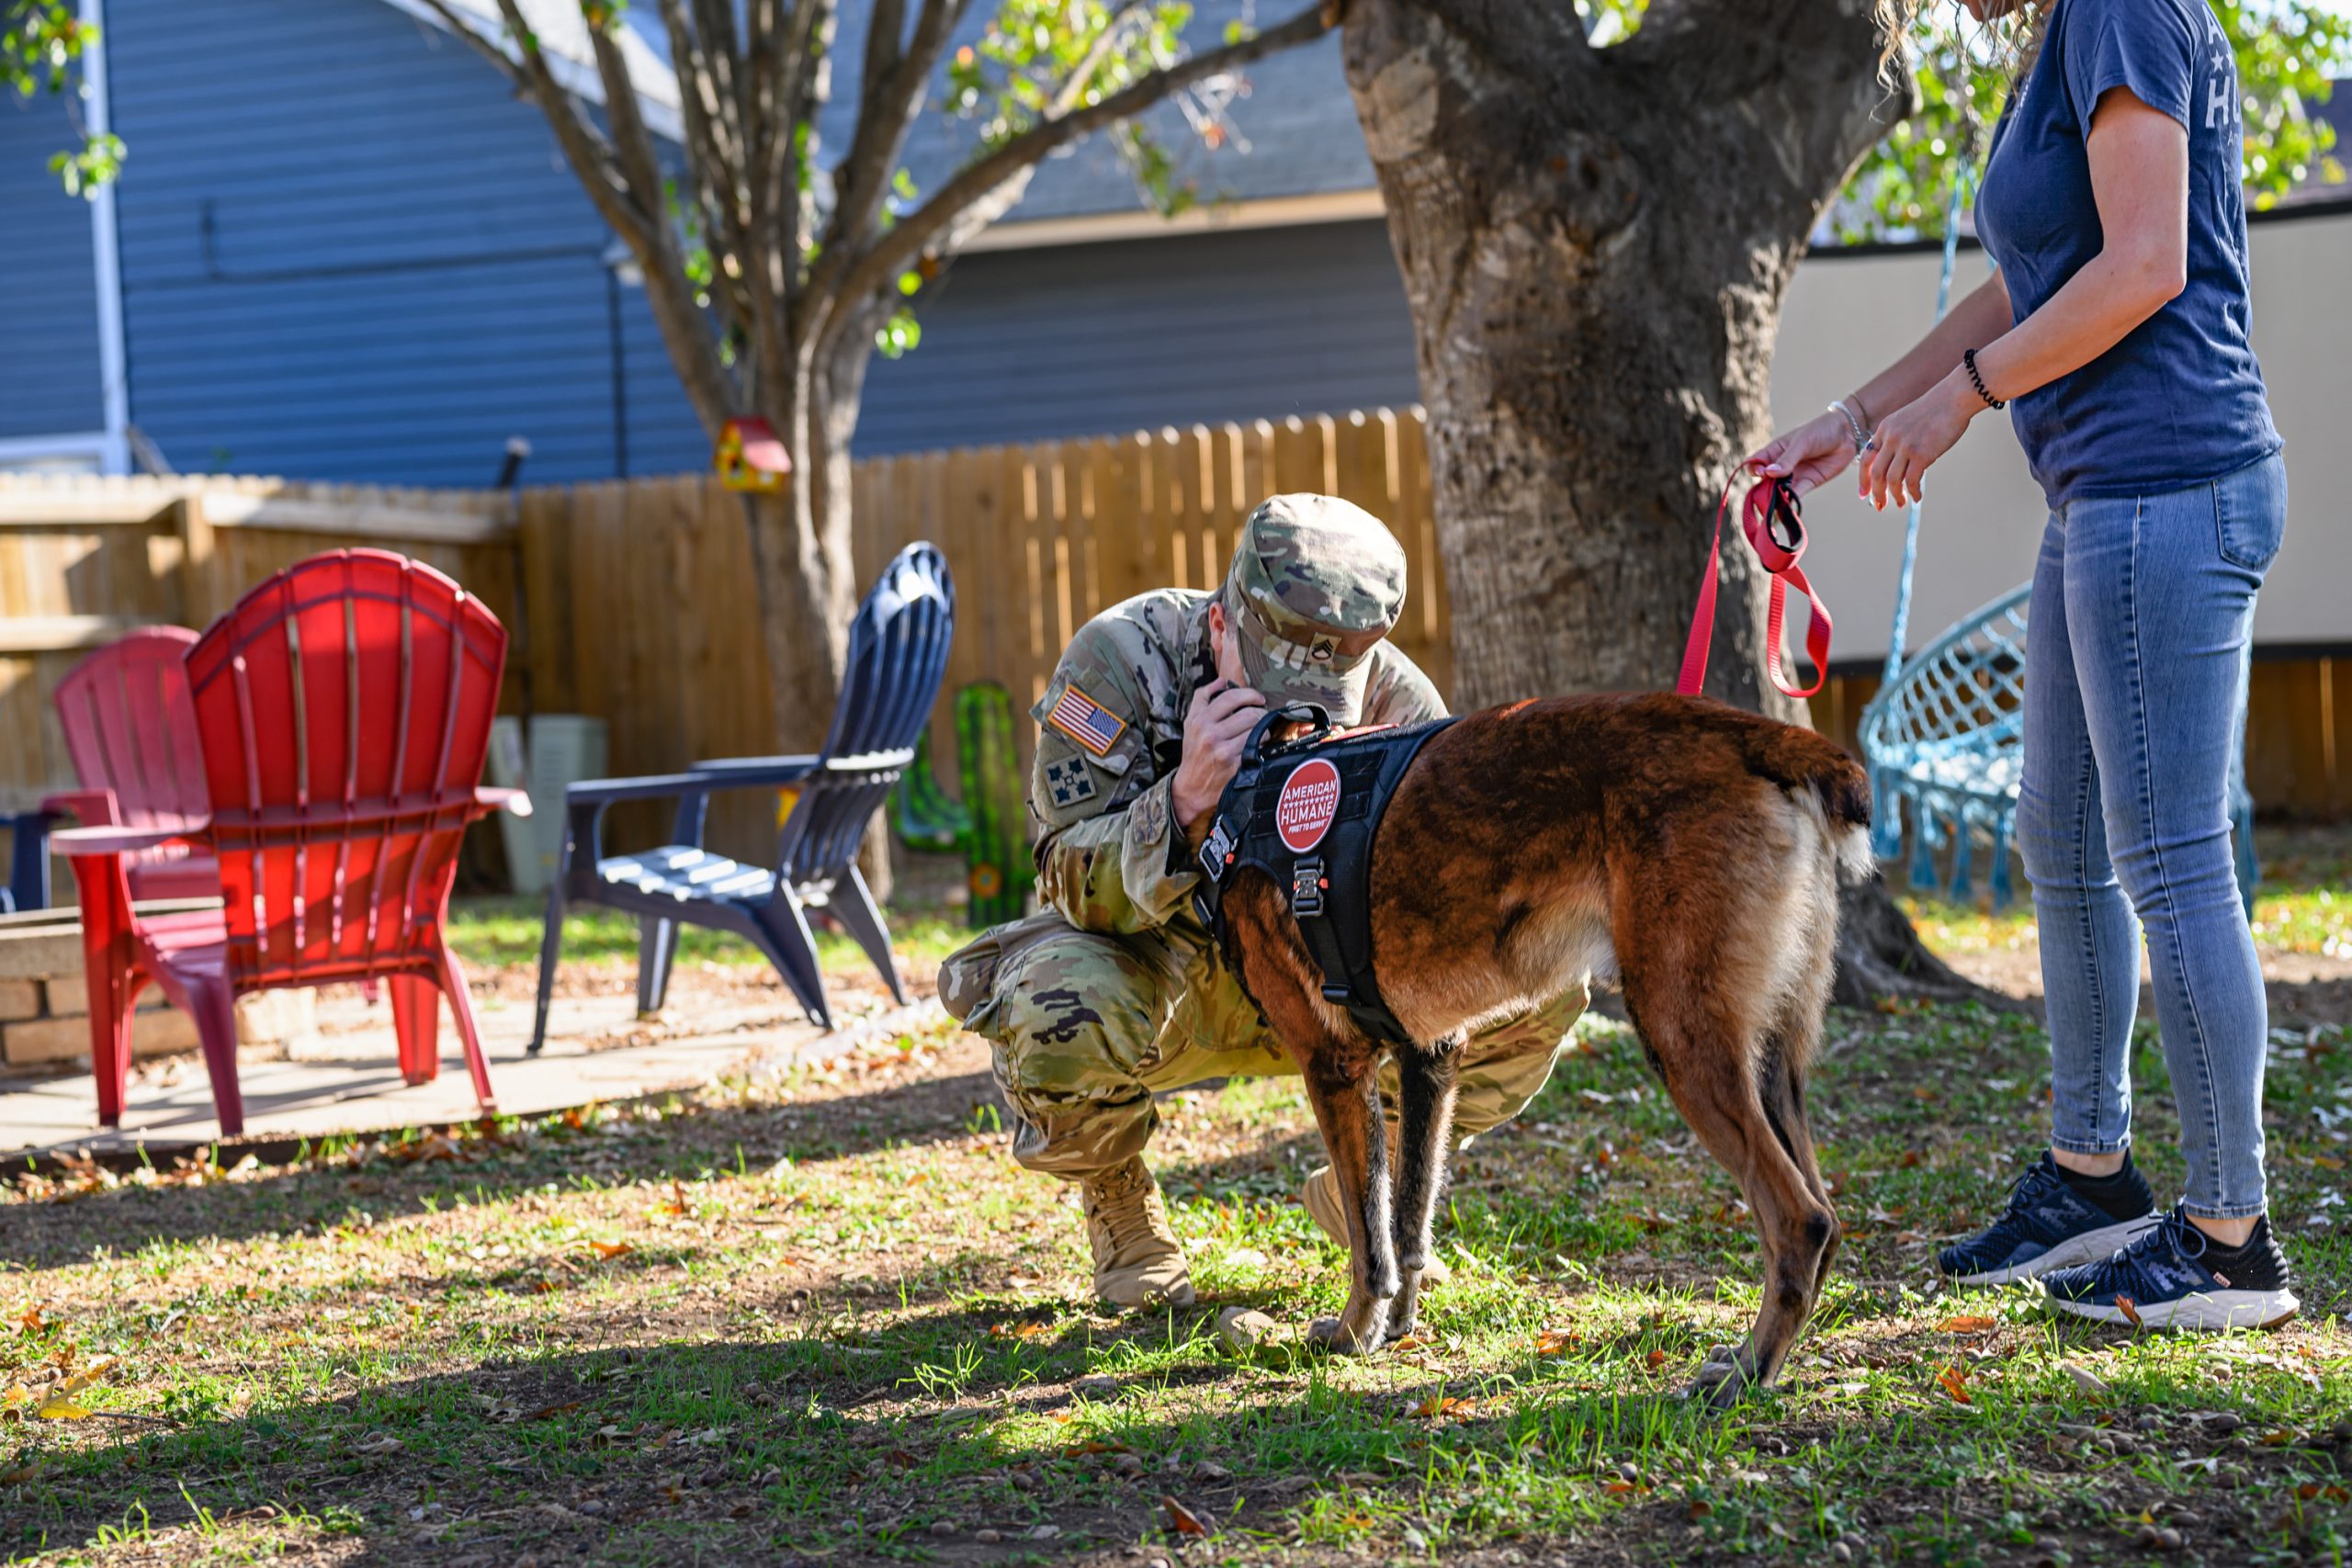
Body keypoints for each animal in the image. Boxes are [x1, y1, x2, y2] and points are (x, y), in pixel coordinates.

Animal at [1213, 691, 1871, 1401]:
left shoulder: (1335, 1067)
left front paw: (1352, 1333)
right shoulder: (1432, 1058)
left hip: (1682, 1044)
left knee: (1800, 1221)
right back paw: (1763, 1358)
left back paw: (1749, 1372)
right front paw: (1398, 1327)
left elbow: (1370, 1241)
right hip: (1772, 1066)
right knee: (1827, 1218)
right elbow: (1409, 1218)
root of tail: (1748, 732)